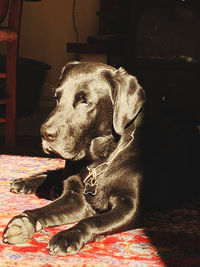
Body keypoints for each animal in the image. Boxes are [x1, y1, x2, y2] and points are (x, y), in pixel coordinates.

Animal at [2, 61, 199, 256]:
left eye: (84, 101)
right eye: (57, 97)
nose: (45, 133)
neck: (100, 161)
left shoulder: (131, 207)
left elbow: (92, 221)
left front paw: (67, 236)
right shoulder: (75, 197)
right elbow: (44, 210)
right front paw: (24, 221)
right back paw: (26, 182)